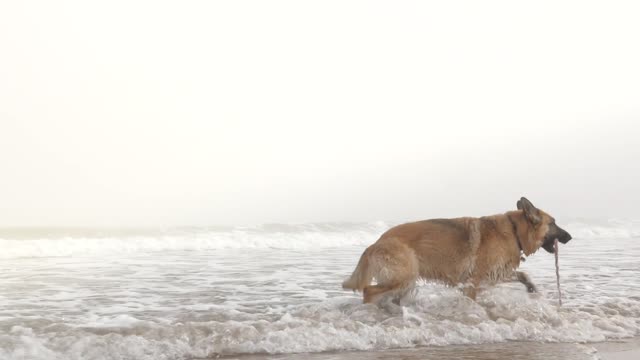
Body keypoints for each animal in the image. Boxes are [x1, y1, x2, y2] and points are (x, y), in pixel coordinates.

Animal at [342, 197, 572, 304]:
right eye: (553, 223)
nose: (569, 237)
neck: (514, 230)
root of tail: (377, 241)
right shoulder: (474, 282)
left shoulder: (494, 274)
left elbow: (522, 275)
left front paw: (531, 288)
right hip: (402, 277)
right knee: (368, 290)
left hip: (403, 282)